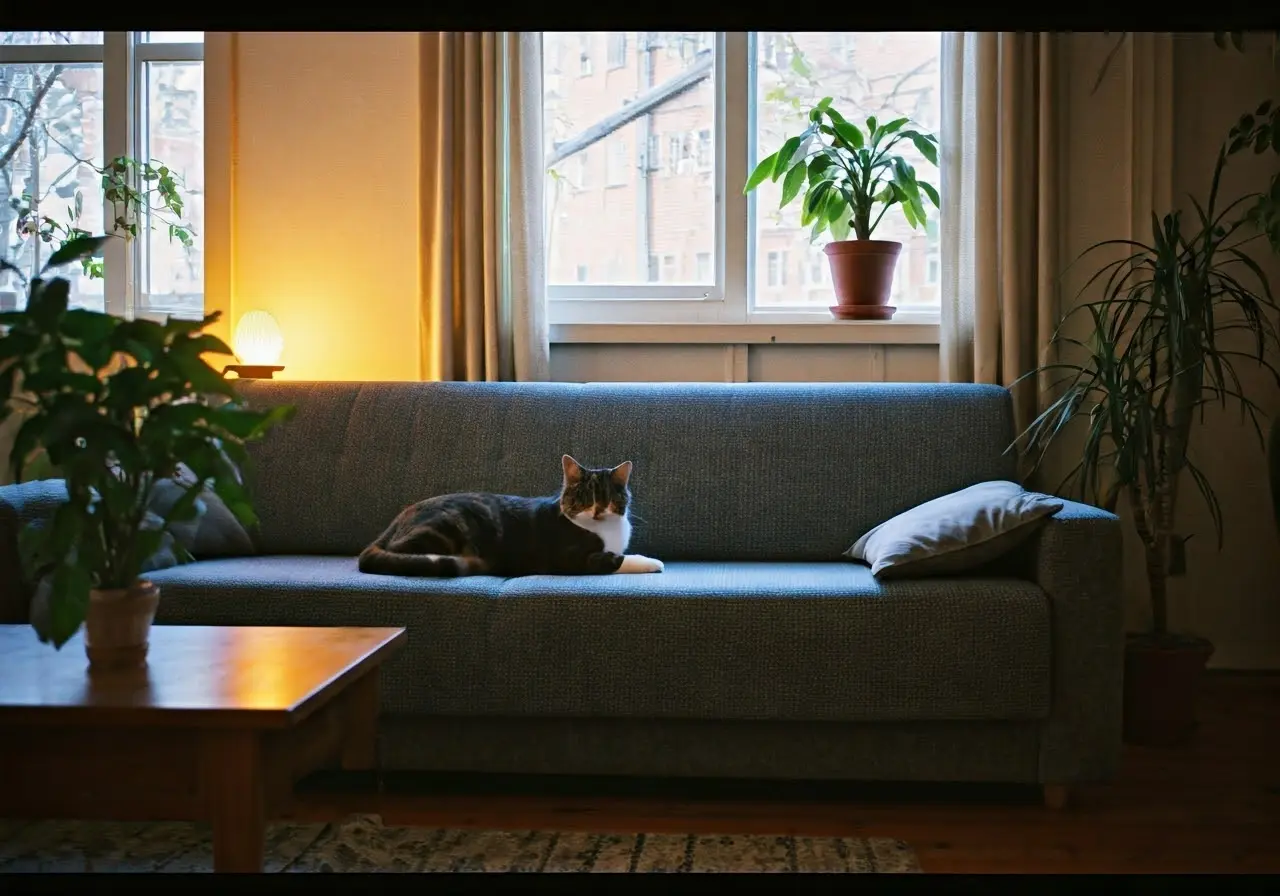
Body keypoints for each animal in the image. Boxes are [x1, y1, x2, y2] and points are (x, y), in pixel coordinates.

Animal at [355, 458, 665, 578]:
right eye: (584, 498)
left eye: (608, 498)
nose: (598, 511)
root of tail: (396, 521)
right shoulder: (572, 558)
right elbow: (616, 559)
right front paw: (651, 562)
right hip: (447, 524)